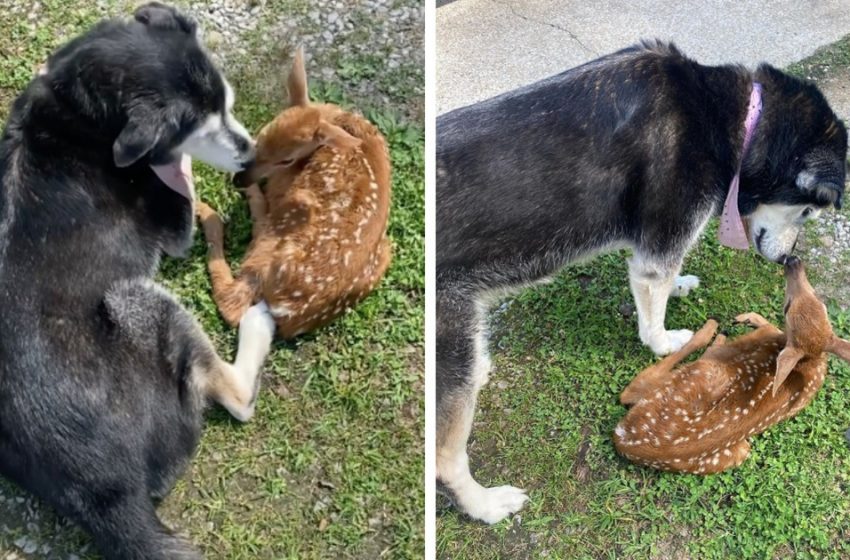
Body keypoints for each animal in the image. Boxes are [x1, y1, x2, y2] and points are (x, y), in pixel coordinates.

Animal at [434, 40, 844, 524]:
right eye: (808, 211)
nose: (788, 258)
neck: (733, 118)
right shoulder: (657, 253)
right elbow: (655, 316)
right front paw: (666, 340)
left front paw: (681, 284)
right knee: (444, 459)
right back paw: (485, 504)